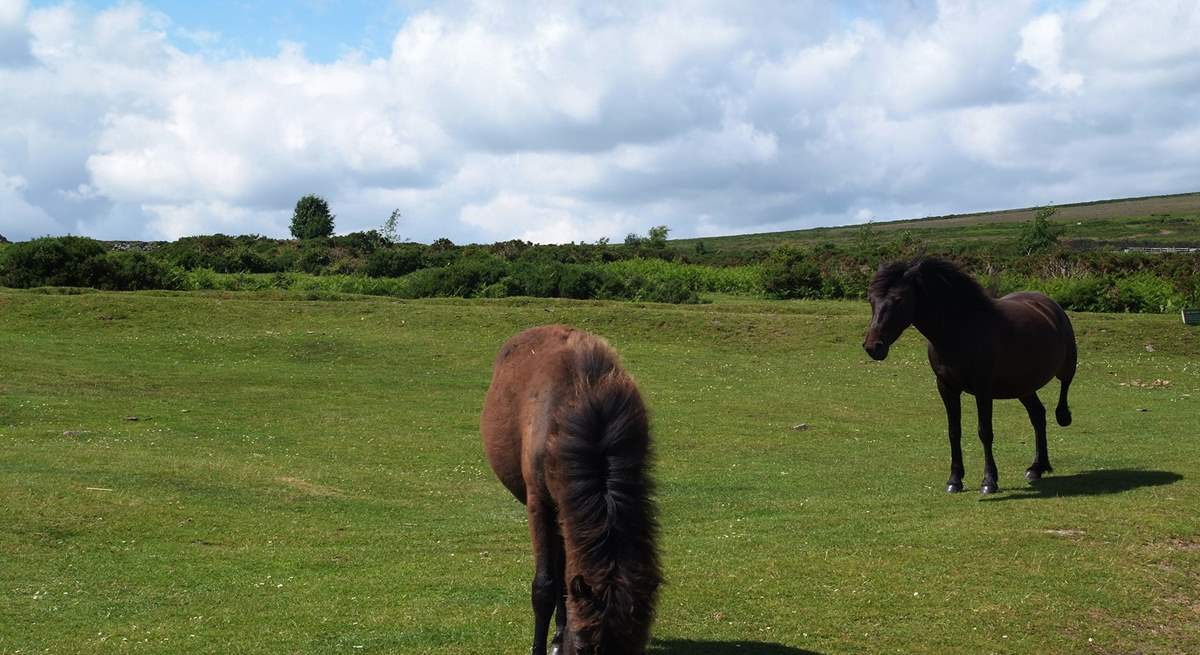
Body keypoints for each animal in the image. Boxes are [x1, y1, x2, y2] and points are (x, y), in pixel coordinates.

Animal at [864, 257, 1080, 491]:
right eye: (871, 299)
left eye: (898, 300)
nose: (873, 347)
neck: (959, 331)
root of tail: (1049, 303)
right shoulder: (946, 387)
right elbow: (954, 431)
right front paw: (954, 480)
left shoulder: (983, 389)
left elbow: (985, 431)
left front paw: (989, 481)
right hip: (1022, 386)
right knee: (1038, 415)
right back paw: (1037, 467)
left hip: (1064, 366)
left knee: (1064, 386)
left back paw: (1063, 417)